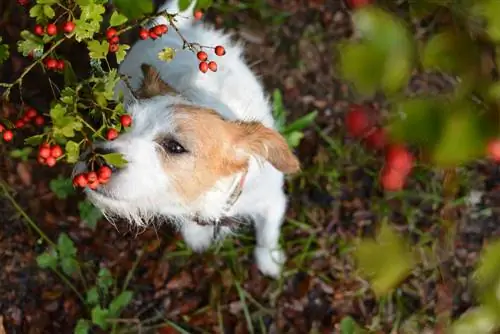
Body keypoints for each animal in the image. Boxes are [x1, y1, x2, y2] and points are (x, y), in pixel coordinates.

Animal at [72, 0, 298, 276]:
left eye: (175, 146)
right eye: (120, 125)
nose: (97, 161)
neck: (209, 201)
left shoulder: (272, 200)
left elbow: (268, 233)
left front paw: (270, 261)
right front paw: (197, 236)